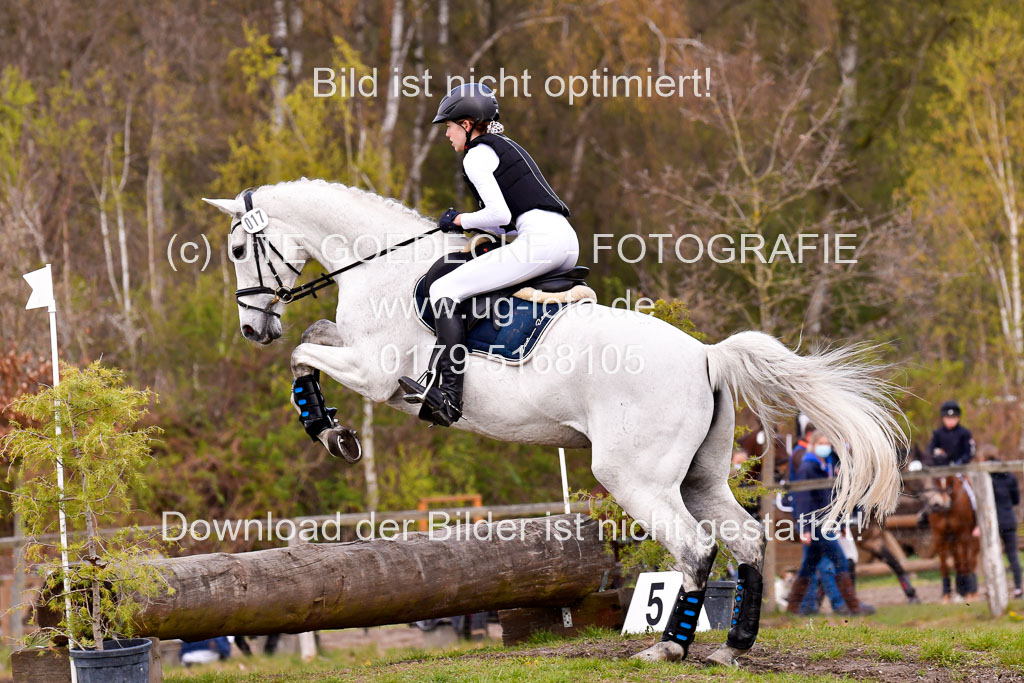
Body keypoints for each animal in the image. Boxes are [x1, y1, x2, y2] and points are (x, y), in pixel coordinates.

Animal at [203, 179, 909, 663]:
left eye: (238, 247)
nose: (251, 329)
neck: (383, 266)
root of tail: (707, 354)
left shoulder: (375, 374)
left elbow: (303, 353)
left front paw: (331, 432)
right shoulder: (352, 350)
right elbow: (312, 340)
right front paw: (331, 425)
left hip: (636, 477)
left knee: (694, 548)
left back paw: (668, 648)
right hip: (700, 478)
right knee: (746, 541)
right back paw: (733, 647)